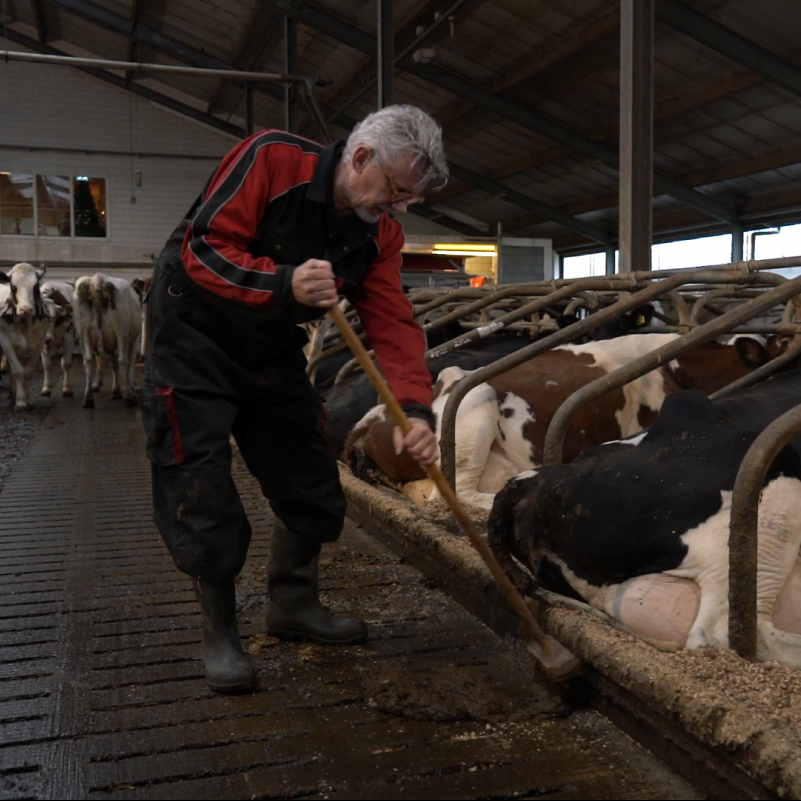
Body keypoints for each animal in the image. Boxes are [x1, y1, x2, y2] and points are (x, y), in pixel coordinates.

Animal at [0, 264, 54, 410]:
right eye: (13, 287)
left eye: (36, 287)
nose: (26, 309)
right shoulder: (6, 343)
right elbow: (18, 371)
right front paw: (21, 402)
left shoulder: (39, 343)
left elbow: (28, 372)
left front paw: (27, 399)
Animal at [73, 276, 142, 410]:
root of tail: (97, 279)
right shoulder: (133, 342)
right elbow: (127, 364)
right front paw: (127, 388)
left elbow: (113, 366)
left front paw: (116, 390)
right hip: (121, 330)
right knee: (122, 361)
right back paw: (130, 397)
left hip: (83, 330)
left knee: (88, 361)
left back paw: (88, 399)